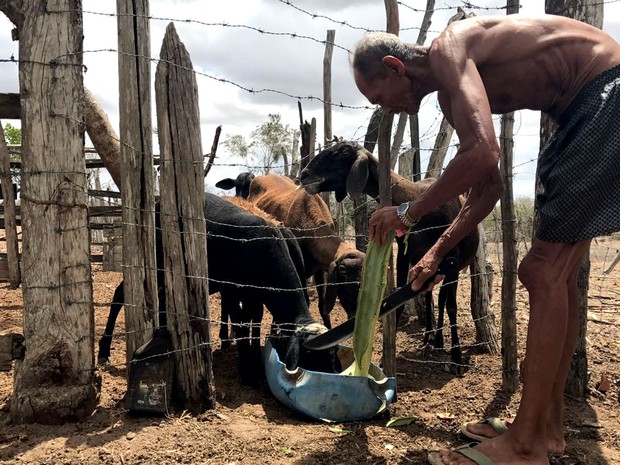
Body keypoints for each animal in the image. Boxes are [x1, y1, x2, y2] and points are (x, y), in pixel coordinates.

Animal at [98, 191, 340, 384]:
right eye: (313, 357)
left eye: (334, 352)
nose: (334, 373)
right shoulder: (231, 290)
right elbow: (241, 322)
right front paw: (246, 370)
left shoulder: (254, 294)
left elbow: (254, 319)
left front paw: (253, 356)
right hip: (155, 263)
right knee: (120, 294)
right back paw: (104, 349)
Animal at [300, 140, 480, 374]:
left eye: (344, 151)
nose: (304, 174)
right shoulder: (405, 254)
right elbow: (400, 302)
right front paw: (385, 361)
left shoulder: (452, 258)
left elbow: (452, 307)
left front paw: (457, 358)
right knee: (431, 298)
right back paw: (431, 340)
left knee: (443, 300)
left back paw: (440, 342)